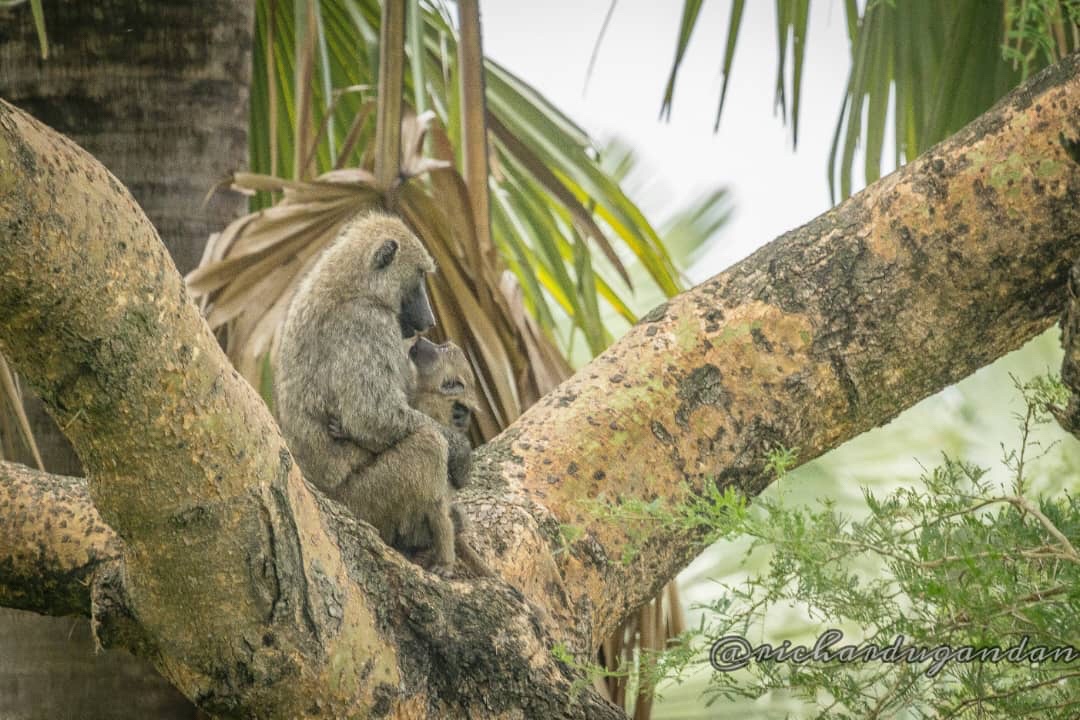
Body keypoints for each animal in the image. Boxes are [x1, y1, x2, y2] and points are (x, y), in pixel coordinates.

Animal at [274, 211, 457, 575]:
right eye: (419, 276)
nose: (430, 320)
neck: (354, 283)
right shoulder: (368, 324)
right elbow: (370, 415)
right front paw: (461, 449)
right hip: (363, 502)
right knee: (429, 444)